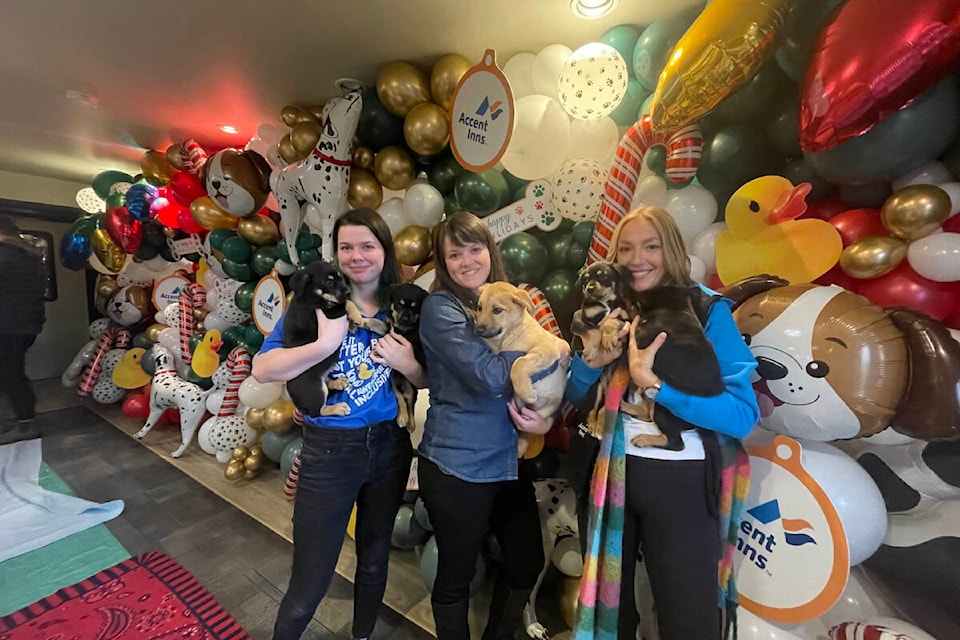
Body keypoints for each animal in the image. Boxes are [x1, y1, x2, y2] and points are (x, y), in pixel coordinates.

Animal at [284, 262, 354, 420]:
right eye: (329, 283)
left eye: (340, 277)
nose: (349, 292)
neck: (312, 295)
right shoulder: (330, 313)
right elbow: (347, 304)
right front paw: (357, 316)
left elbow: (346, 303)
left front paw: (354, 323)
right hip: (316, 389)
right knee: (318, 412)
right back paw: (338, 408)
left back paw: (338, 382)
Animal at [474, 282, 568, 456]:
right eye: (479, 307)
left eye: (497, 310)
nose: (478, 330)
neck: (510, 335)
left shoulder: (546, 349)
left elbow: (519, 363)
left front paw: (527, 392)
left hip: (542, 411)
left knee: (528, 433)